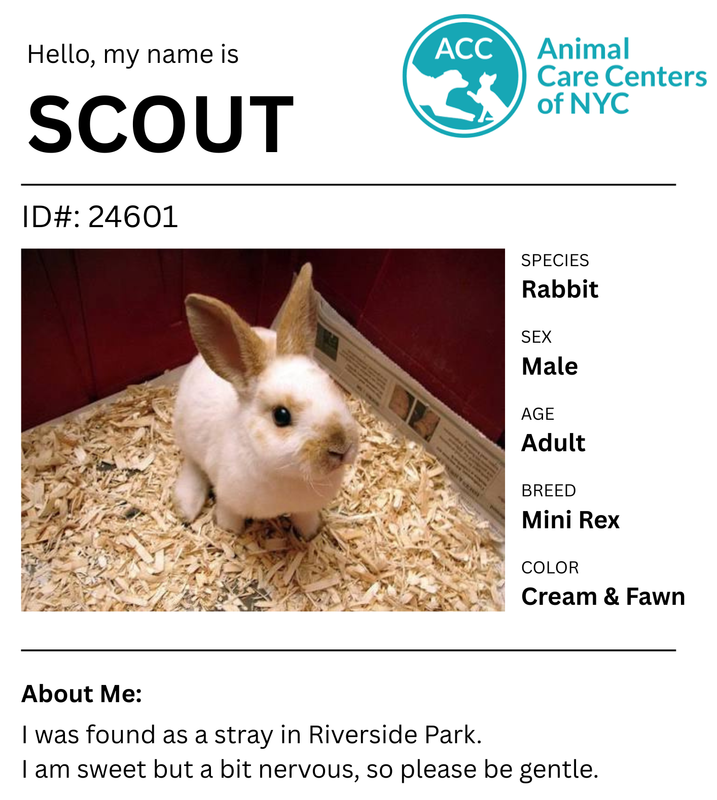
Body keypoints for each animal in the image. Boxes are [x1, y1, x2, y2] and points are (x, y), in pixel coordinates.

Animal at [173, 263, 359, 540]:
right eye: (281, 415)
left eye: (332, 386)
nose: (342, 447)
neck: (289, 475)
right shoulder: (229, 499)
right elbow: (229, 516)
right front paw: (228, 530)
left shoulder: (306, 508)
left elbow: (305, 519)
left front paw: (311, 534)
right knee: (193, 465)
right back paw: (186, 506)